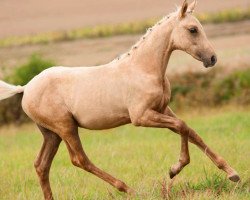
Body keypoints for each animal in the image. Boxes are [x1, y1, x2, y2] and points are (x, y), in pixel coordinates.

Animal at [0, 0, 240, 199]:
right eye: (192, 29)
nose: (212, 58)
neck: (143, 68)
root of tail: (26, 88)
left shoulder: (163, 109)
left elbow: (191, 132)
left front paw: (232, 174)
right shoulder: (141, 117)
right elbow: (182, 126)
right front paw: (175, 169)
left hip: (51, 134)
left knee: (41, 165)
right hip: (65, 127)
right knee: (80, 160)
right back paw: (129, 189)